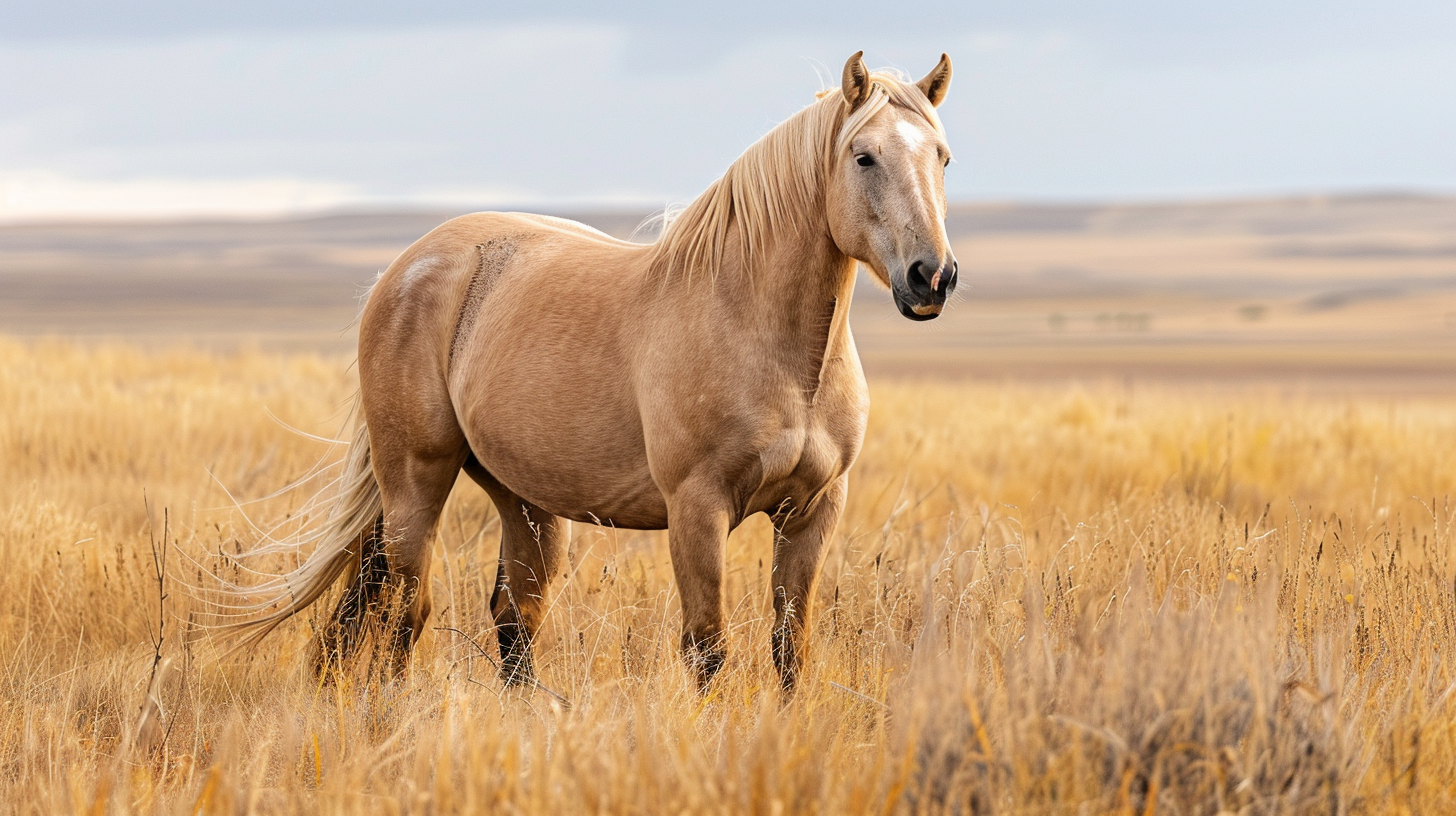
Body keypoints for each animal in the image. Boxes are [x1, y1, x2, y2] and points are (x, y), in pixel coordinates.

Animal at [225, 51, 958, 693]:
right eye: (864, 156)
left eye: (942, 157)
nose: (933, 276)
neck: (775, 347)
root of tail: (404, 268)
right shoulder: (698, 510)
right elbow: (708, 649)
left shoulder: (812, 509)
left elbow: (789, 648)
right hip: (415, 481)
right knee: (404, 610)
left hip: (524, 499)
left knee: (512, 617)